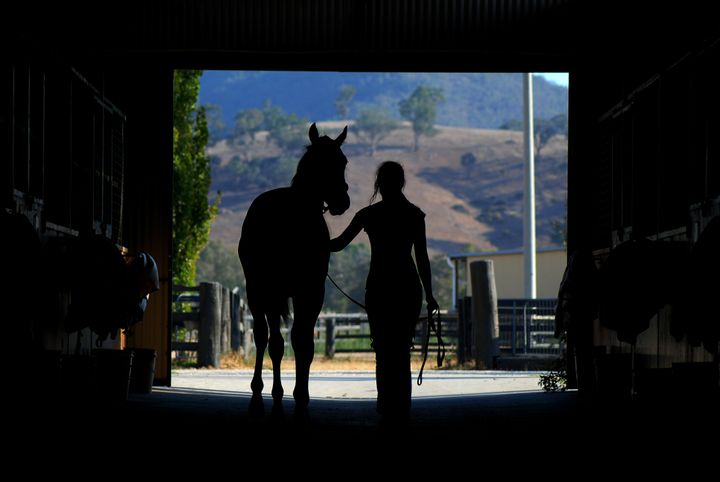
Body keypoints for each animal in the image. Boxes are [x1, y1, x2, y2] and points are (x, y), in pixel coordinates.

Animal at [238, 123, 349, 412]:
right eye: (319, 162)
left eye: (343, 161)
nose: (341, 202)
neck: (297, 221)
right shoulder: (273, 292)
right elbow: (276, 343)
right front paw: (282, 393)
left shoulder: (311, 292)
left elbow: (304, 343)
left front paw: (302, 394)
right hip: (257, 292)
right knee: (264, 337)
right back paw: (260, 391)